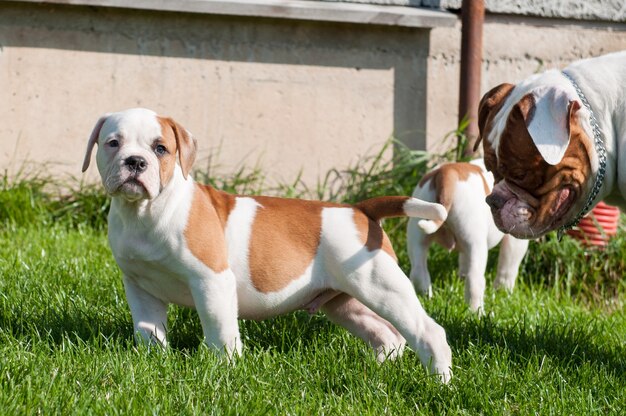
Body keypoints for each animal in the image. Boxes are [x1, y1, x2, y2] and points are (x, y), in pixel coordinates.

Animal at [83, 109, 450, 382]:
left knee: (429, 331)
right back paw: (375, 372)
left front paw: (224, 369)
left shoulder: (212, 281)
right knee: (386, 334)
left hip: (382, 287)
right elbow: (149, 331)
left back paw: (440, 381)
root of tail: (361, 209)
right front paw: (153, 361)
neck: (145, 212)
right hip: (344, 301)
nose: (135, 162)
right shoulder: (140, 288)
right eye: (113, 143)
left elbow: (220, 331)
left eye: (160, 148)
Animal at [404, 159, 528, 312]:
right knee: (474, 279)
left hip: (418, 231)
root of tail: (446, 172)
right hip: (475, 242)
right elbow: (508, 266)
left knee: (418, 272)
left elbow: (463, 260)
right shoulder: (516, 240)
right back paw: (477, 312)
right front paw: (503, 292)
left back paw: (426, 298)